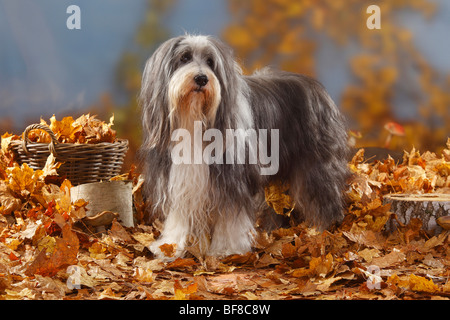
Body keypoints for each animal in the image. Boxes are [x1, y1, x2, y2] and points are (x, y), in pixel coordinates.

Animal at [139, 33, 350, 258]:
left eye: (210, 62)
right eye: (184, 57)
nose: (202, 79)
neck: (194, 120)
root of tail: (316, 87)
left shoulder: (233, 181)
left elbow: (231, 216)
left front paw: (228, 249)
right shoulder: (179, 179)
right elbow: (178, 216)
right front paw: (169, 248)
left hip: (315, 166)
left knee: (324, 199)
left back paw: (324, 232)